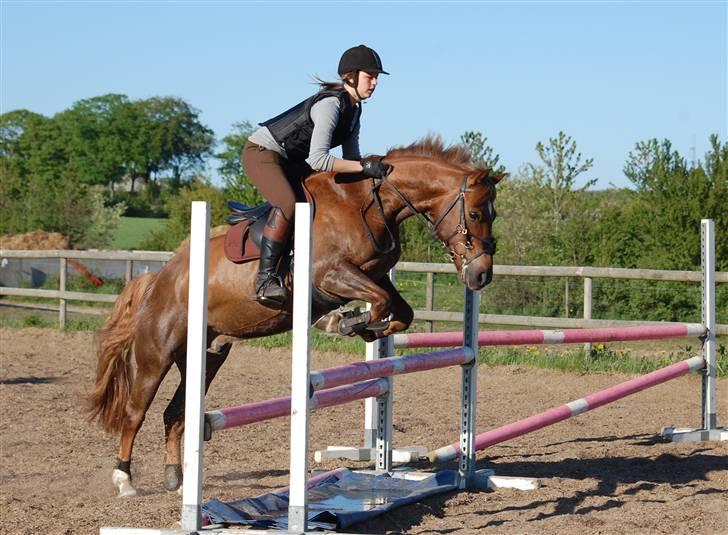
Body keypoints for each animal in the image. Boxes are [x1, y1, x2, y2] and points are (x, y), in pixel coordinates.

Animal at [88, 135, 504, 498]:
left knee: (176, 414)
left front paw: (364, 327)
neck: (368, 202)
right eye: (476, 213)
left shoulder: (373, 275)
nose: (481, 276)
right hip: (155, 354)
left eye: (493, 214)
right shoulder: (330, 275)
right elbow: (382, 301)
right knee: (135, 412)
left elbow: (400, 309)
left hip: (206, 356)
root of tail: (160, 277)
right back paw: (124, 480)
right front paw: (344, 322)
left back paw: (176, 477)